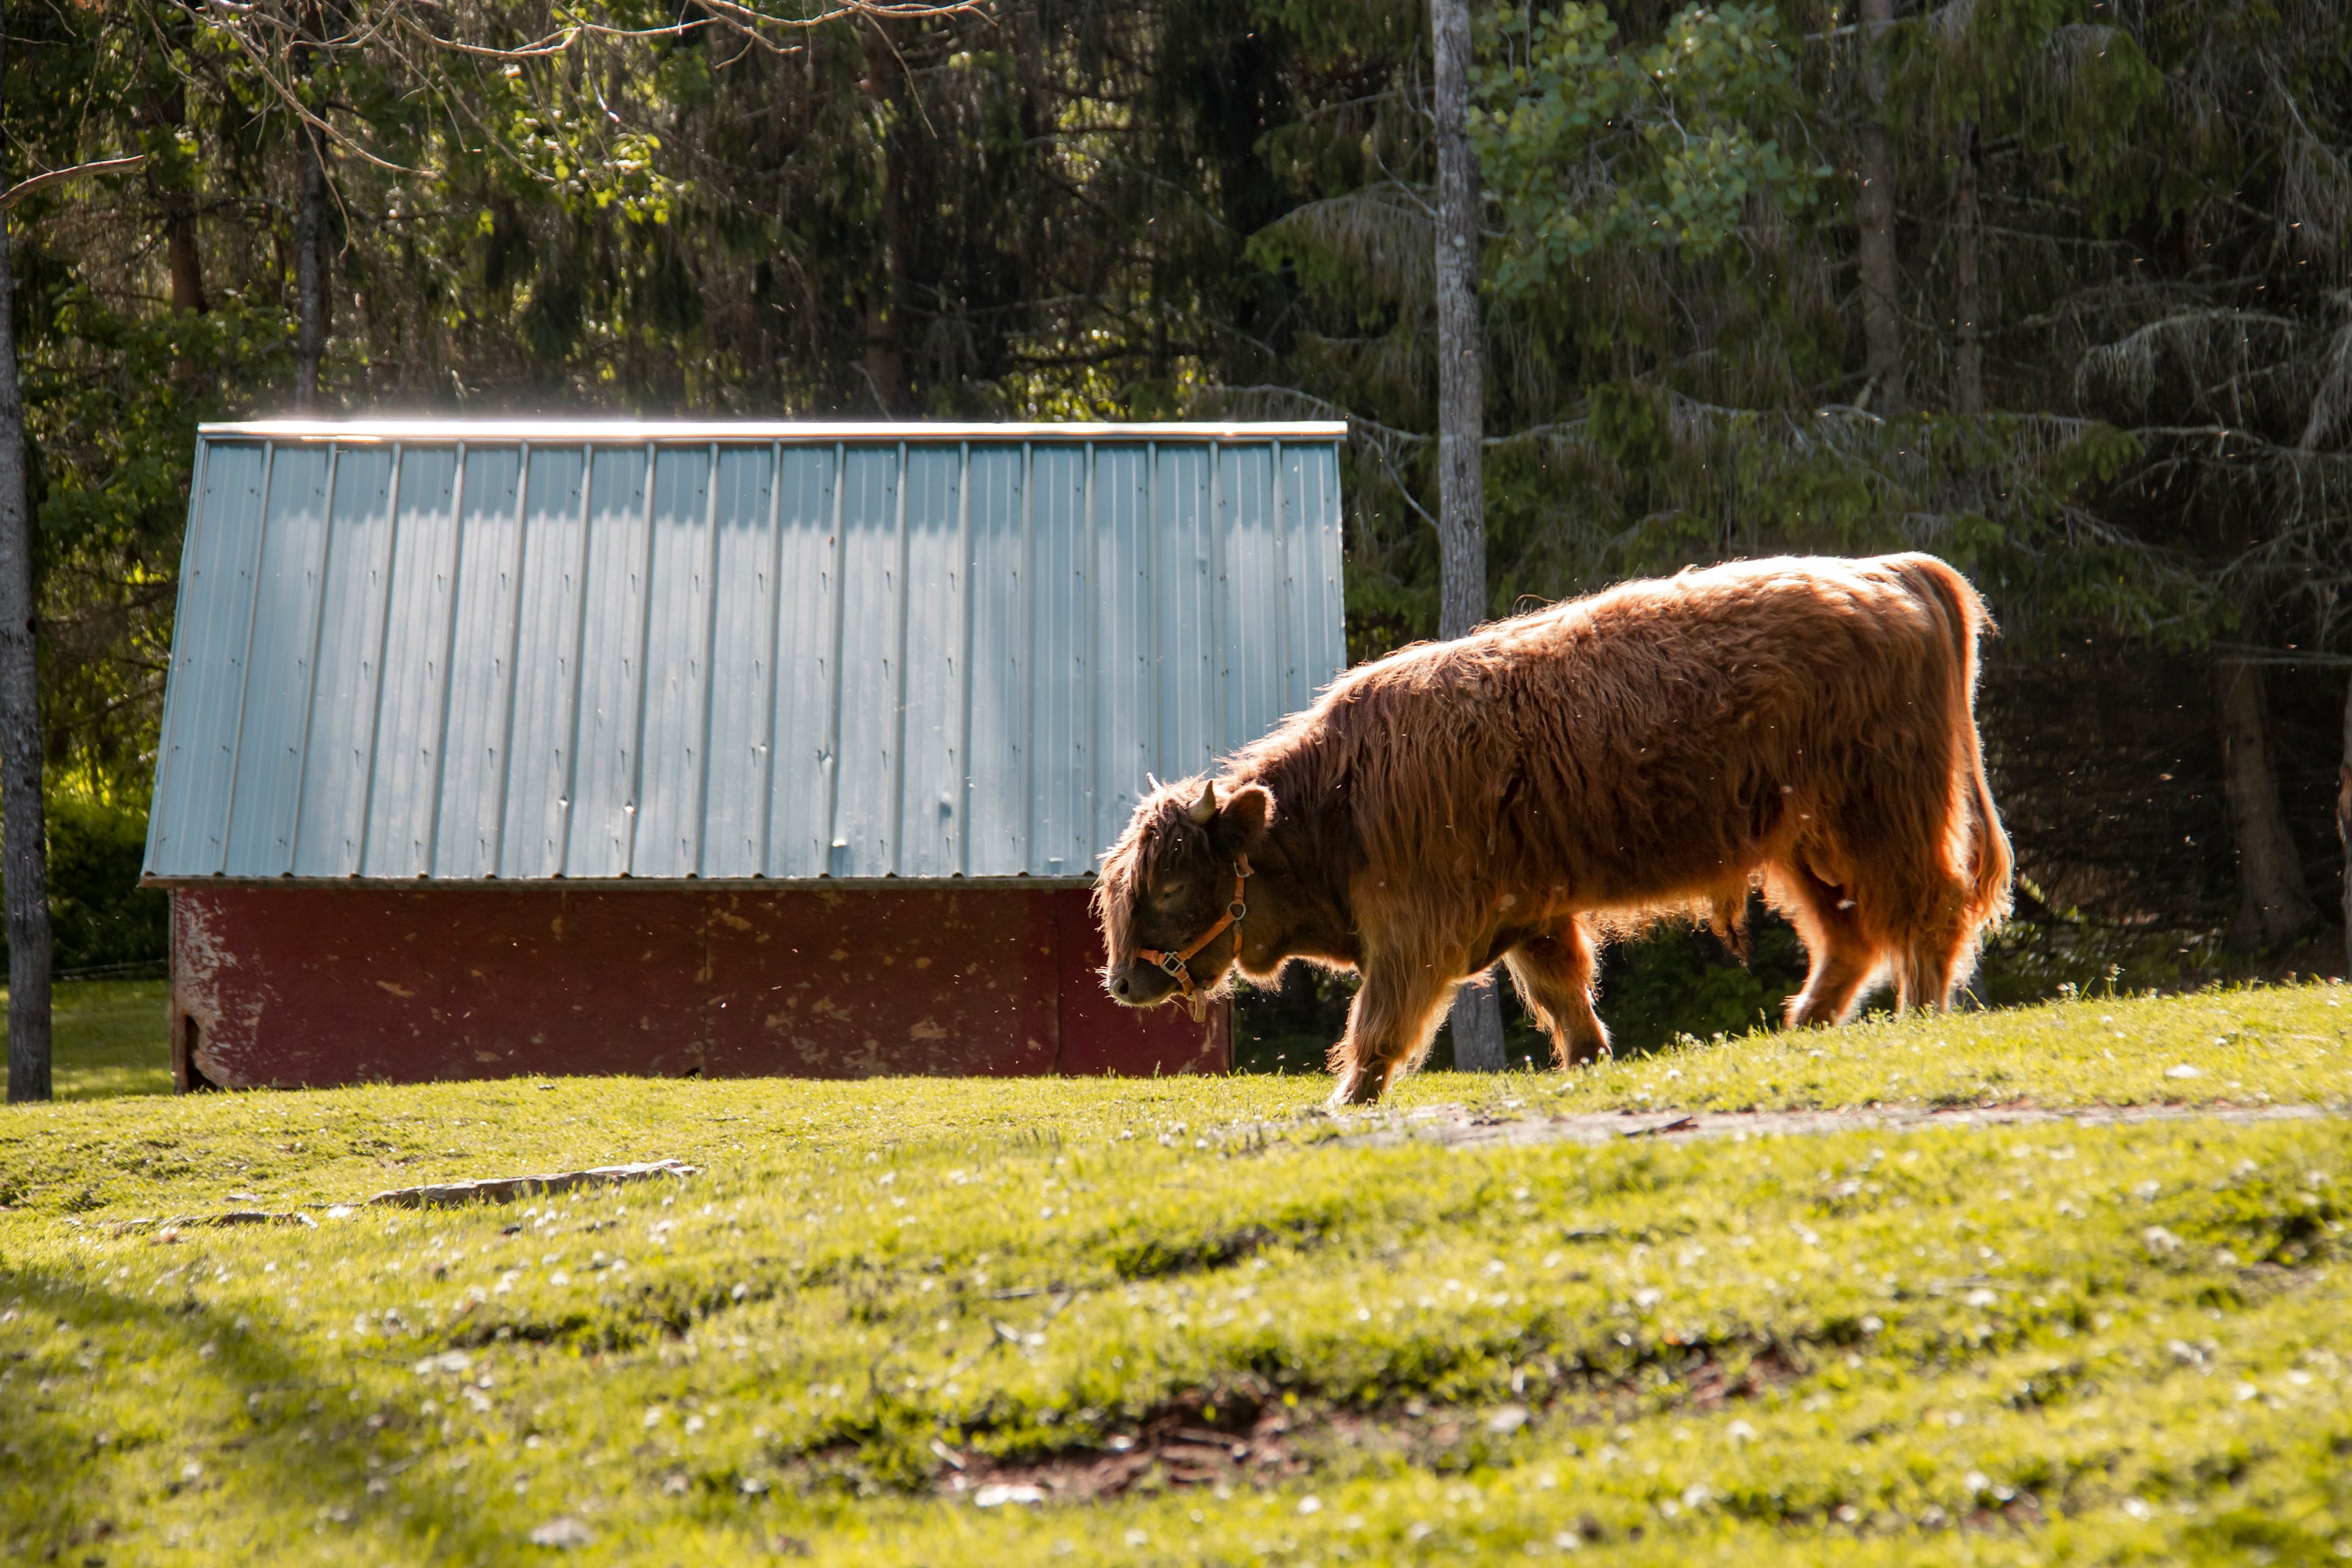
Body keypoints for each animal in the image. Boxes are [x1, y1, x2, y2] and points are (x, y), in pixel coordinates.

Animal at [1092, 553, 2013, 1105]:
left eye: (1169, 883)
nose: (1122, 983)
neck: (1339, 802)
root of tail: (1885, 569)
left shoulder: (1414, 934)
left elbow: (1379, 1026)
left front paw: (1345, 1102)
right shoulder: (1531, 917)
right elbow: (1566, 995)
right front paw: (1591, 1060)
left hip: (1881, 816)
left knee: (1926, 911)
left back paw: (1916, 1014)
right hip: (1802, 842)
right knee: (1848, 935)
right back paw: (1802, 1026)